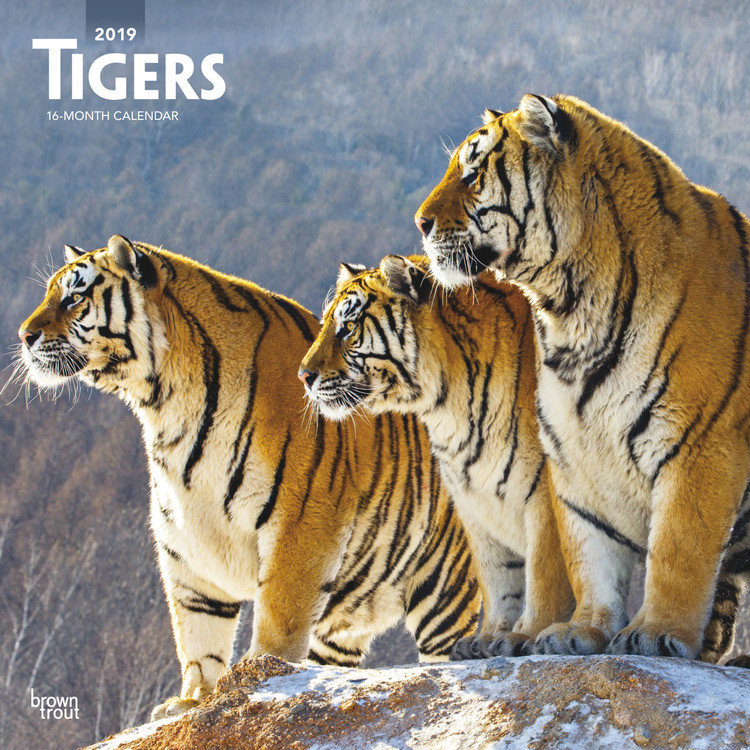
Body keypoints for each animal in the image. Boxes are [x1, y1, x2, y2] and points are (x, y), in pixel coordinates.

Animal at [16, 235, 480, 719]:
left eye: (74, 297)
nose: (23, 335)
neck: (164, 406)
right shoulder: (185, 544)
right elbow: (198, 634)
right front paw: (192, 700)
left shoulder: (301, 527)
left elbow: (278, 621)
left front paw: (254, 683)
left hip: (447, 591)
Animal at [299, 254, 574, 658]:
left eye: (347, 328)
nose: (303, 376)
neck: (447, 407)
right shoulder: (475, 500)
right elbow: (498, 578)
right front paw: (487, 638)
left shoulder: (544, 493)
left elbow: (544, 573)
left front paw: (527, 635)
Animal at [415, 93, 750, 665]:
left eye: (473, 172)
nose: (420, 222)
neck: (569, 313)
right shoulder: (575, 454)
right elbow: (588, 554)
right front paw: (581, 630)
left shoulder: (699, 446)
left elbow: (677, 552)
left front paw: (657, 633)